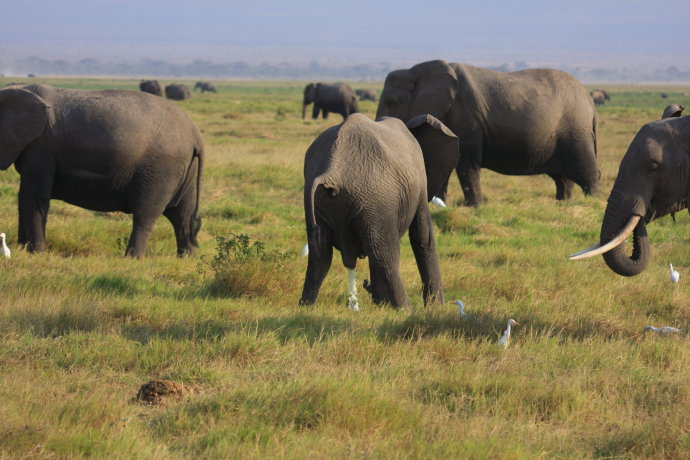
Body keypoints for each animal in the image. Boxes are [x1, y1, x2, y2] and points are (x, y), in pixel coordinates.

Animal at [0, 82, 203, 255]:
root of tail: (196, 135)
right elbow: (25, 197)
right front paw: (22, 250)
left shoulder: (41, 148)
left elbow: (33, 197)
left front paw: (34, 254)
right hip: (182, 169)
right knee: (182, 214)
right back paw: (187, 258)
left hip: (161, 169)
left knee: (146, 214)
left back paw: (132, 259)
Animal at [300, 111, 456, 310]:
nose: (367, 284)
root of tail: (331, 171)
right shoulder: (420, 180)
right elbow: (423, 237)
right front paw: (436, 308)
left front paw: (381, 305)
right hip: (375, 200)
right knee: (384, 256)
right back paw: (405, 310)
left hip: (322, 201)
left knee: (320, 255)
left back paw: (306, 307)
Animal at [376, 59, 596, 207]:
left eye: (391, 101)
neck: (417, 70)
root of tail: (589, 100)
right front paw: (438, 204)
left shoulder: (466, 117)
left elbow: (465, 163)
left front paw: (471, 207)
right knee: (562, 178)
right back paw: (562, 204)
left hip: (576, 131)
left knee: (587, 171)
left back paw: (593, 202)